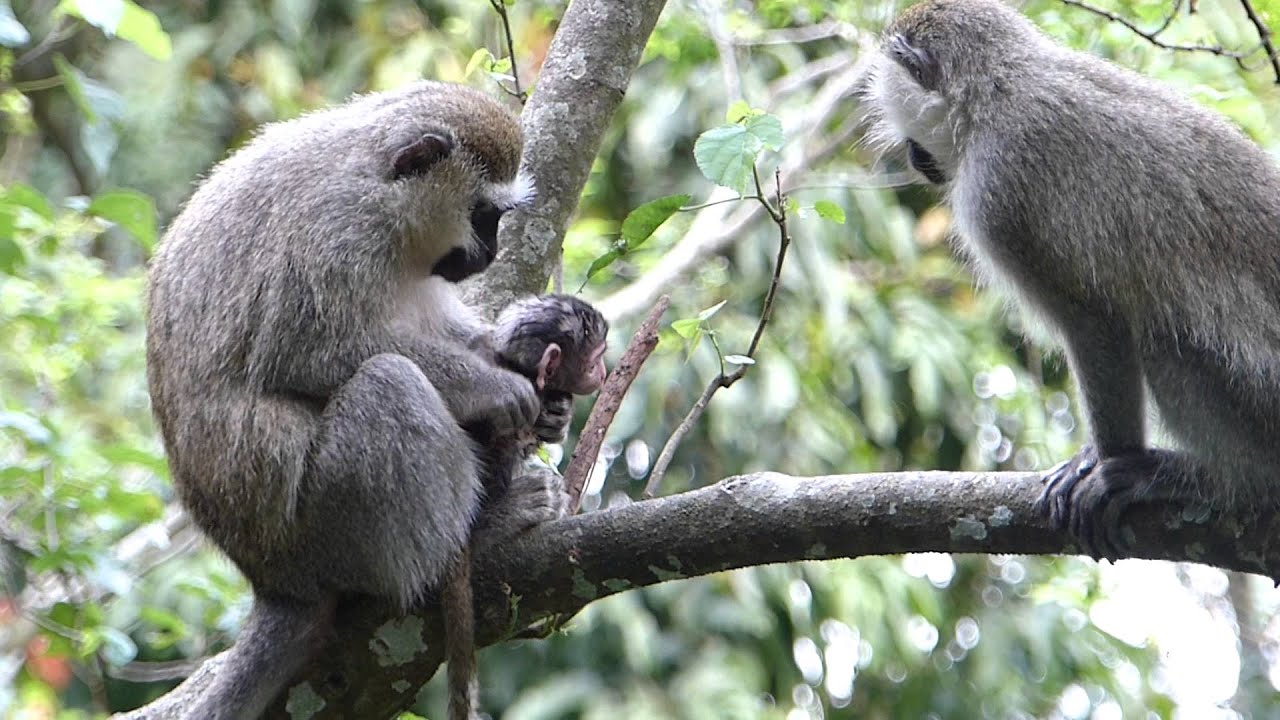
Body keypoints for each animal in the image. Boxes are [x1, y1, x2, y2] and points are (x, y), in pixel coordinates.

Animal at [145, 80, 565, 719]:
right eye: (484, 215)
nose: (491, 254)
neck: (377, 179)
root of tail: (274, 581)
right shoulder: (339, 230)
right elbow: (309, 355)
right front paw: (497, 387)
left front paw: (523, 354)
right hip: (327, 530)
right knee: (389, 381)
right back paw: (477, 536)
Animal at [859, 0, 1280, 559]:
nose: (911, 154)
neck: (999, 86)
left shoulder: (998, 191)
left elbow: (1095, 322)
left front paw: (1109, 461)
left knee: (1162, 338)